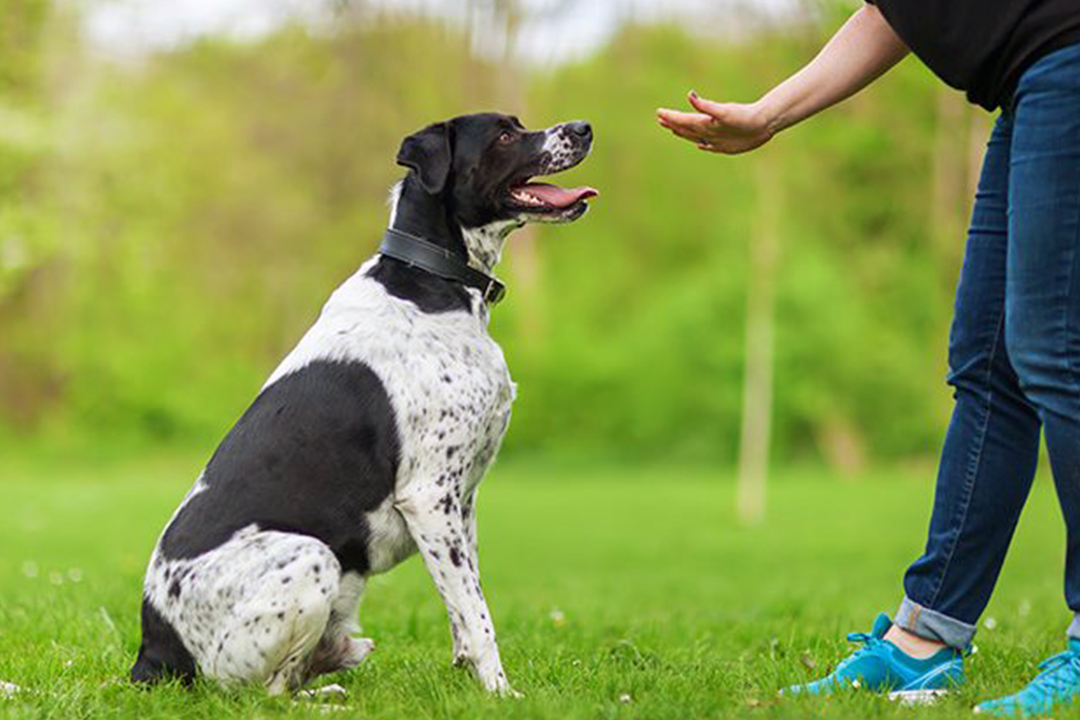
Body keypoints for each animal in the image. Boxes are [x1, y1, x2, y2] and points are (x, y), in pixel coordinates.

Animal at [132, 113, 600, 699]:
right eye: (504, 135)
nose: (583, 127)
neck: (431, 281)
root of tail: (150, 653)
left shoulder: (461, 502)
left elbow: (463, 607)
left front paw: (466, 679)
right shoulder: (429, 496)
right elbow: (478, 614)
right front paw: (500, 693)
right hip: (310, 558)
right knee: (264, 693)